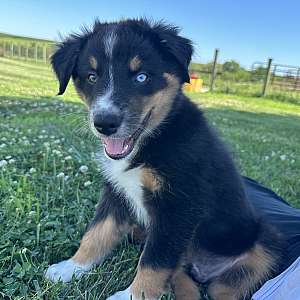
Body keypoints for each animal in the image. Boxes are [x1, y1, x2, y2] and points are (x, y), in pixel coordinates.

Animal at [45, 19, 284, 300]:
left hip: (264, 243)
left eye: (141, 77)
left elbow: (154, 261)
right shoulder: (117, 192)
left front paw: (131, 296)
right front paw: (71, 267)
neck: (152, 141)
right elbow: (97, 233)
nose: (105, 123)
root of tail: (202, 270)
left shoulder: (178, 207)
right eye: (92, 77)